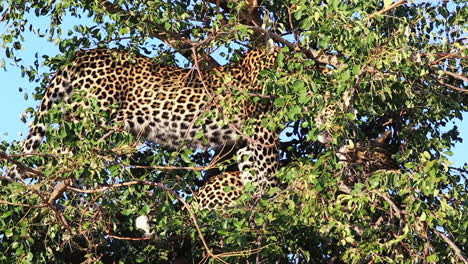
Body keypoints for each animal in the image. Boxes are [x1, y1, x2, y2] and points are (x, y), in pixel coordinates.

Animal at [7, 46, 280, 209]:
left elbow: (252, 173)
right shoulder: (263, 129)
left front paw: (257, 204)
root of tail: (84, 54)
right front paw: (279, 205)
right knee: (61, 157)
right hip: (89, 119)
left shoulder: (245, 140)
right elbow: (270, 172)